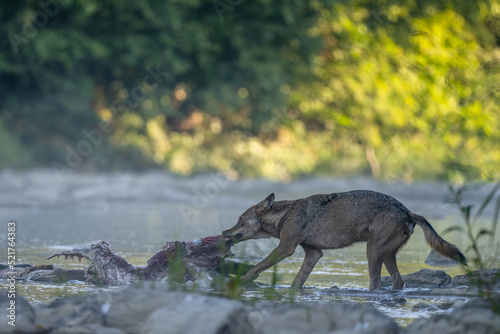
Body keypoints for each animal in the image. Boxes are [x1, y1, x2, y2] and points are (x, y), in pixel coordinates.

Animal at [223, 190, 464, 290]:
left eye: (239, 220)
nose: (225, 232)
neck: (285, 214)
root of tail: (409, 211)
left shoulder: (285, 248)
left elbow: (257, 266)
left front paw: (243, 280)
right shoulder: (313, 253)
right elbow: (298, 280)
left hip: (373, 252)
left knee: (377, 283)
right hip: (386, 255)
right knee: (398, 281)